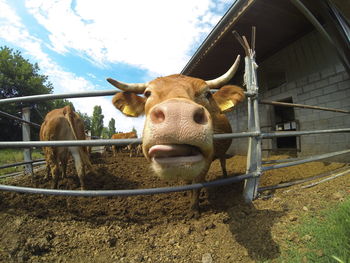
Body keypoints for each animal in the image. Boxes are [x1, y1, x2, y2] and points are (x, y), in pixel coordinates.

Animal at [108, 54, 245, 213]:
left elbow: (197, 183)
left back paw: (224, 177)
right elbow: (188, 182)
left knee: (223, 163)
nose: (178, 113)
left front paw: (194, 208)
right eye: (147, 93)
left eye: (207, 94)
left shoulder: (207, 161)